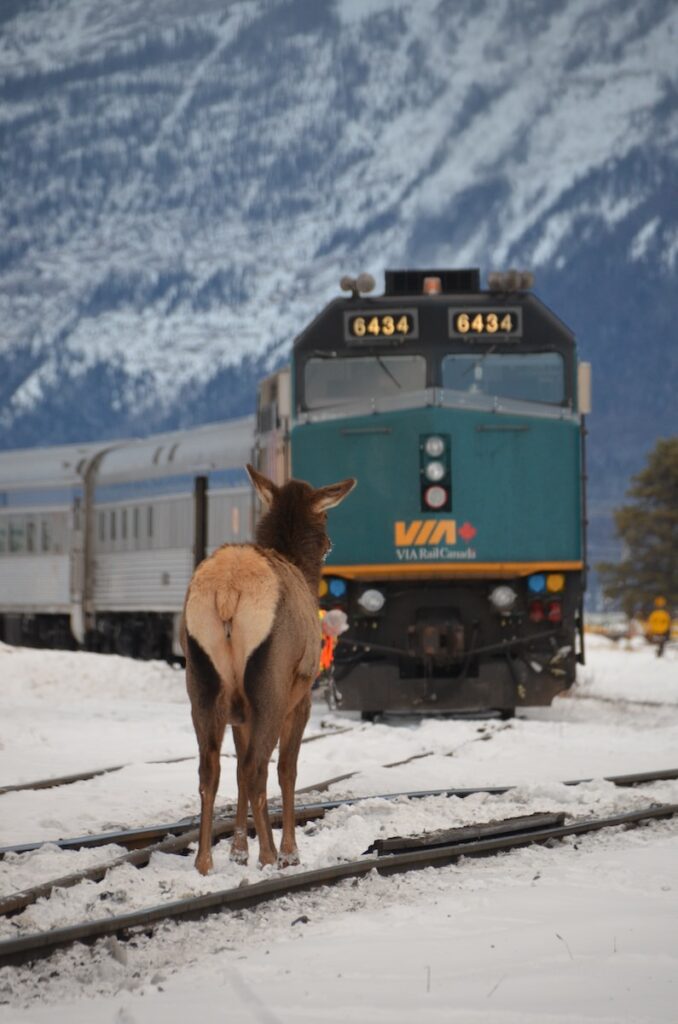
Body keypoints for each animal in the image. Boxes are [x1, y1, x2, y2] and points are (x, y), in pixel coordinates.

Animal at [183, 464, 358, 872]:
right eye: (325, 517)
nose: (330, 544)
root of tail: (227, 591)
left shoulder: (238, 712)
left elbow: (235, 770)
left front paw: (237, 850)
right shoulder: (301, 697)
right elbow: (287, 770)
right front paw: (290, 852)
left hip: (201, 679)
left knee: (211, 769)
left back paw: (204, 861)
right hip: (271, 683)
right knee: (257, 767)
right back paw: (269, 854)